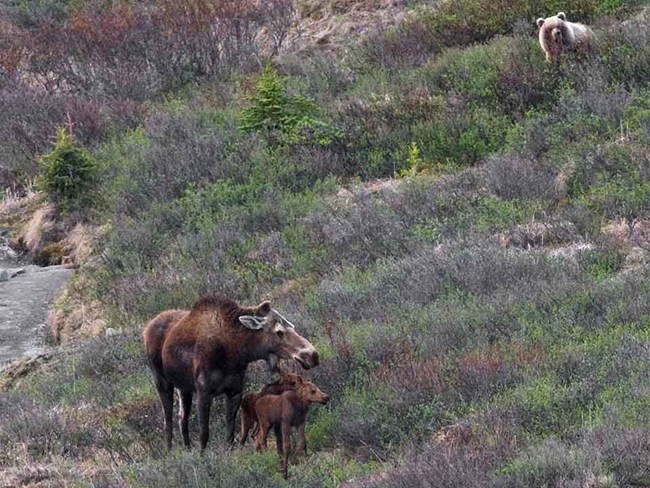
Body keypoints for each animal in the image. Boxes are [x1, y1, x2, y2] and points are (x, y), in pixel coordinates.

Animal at [142, 294, 318, 450]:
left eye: (292, 326)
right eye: (279, 331)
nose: (313, 355)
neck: (236, 353)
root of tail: (146, 328)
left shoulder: (235, 391)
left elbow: (231, 433)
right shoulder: (204, 391)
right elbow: (204, 434)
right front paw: (202, 456)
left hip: (184, 388)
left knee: (181, 419)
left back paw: (187, 448)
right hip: (162, 382)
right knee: (168, 422)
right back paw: (170, 452)